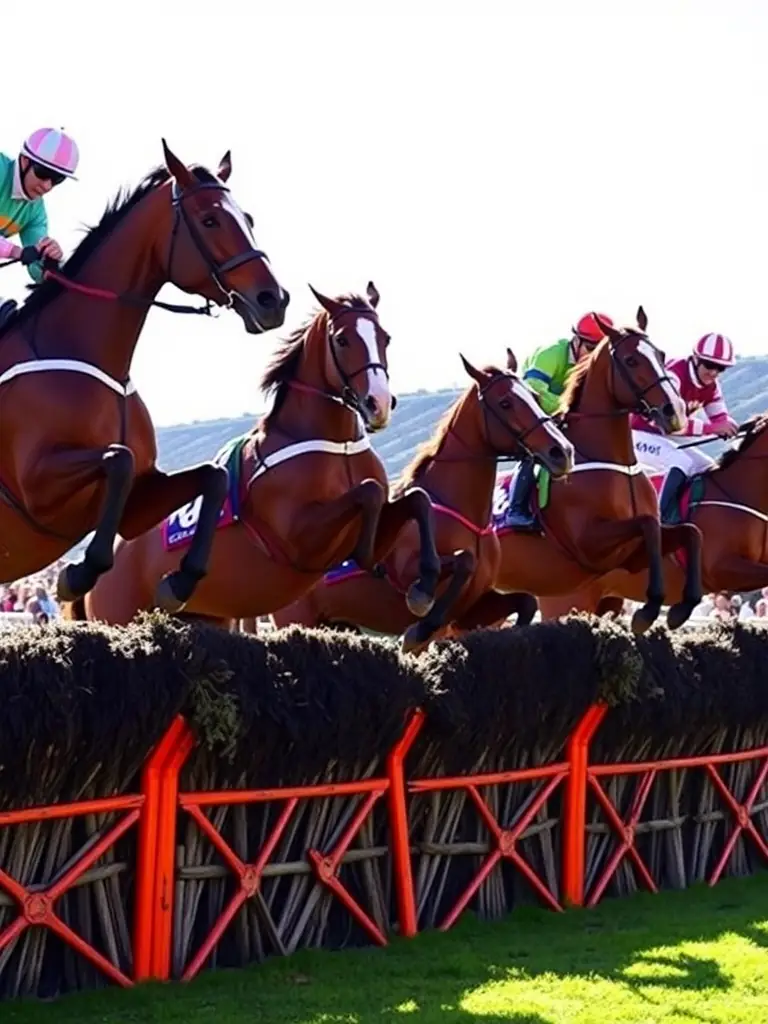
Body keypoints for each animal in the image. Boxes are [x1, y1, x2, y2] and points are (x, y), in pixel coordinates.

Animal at [0, 140, 290, 616]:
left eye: (247, 219)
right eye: (210, 220)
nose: (273, 300)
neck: (93, 355)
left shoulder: (139, 501)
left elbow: (211, 476)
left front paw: (181, 581)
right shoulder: (35, 484)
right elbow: (118, 458)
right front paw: (78, 572)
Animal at [62, 283, 445, 638]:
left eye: (385, 338)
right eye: (342, 340)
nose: (377, 403)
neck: (338, 446)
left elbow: (417, 500)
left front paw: (425, 586)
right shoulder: (299, 539)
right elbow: (369, 493)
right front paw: (370, 554)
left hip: (206, 618)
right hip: (119, 614)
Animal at [271, 346, 575, 652]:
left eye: (534, 396)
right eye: (505, 403)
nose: (562, 451)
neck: (466, 515)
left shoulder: (473, 607)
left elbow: (526, 602)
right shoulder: (405, 573)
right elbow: (462, 562)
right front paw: (421, 616)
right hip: (297, 616)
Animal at [438, 309, 705, 636]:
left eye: (661, 354)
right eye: (631, 360)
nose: (675, 410)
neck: (612, 462)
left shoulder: (629, 556)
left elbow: (689, 532)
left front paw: (682, 606)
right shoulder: (589, 545)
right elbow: (647, 525)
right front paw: (650, 607)